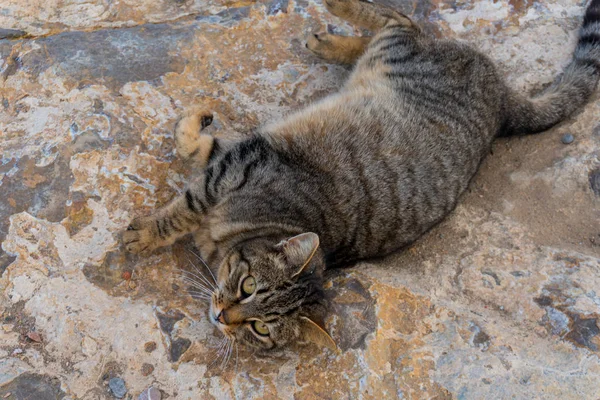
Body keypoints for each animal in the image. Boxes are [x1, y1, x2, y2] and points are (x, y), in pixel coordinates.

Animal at [122, 0, 600, 350]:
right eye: (249, 285)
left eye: (260, 327)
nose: (222, 316)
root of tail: (504, 101)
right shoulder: (245, 160)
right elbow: (189, 188)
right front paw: (148, 229)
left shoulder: (242, 159)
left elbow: (191, 178)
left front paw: (143, 233)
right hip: (398, 54)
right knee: (400, 17)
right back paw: (333, 29)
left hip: (395, 55)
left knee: (398, 21)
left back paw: (331, 41)